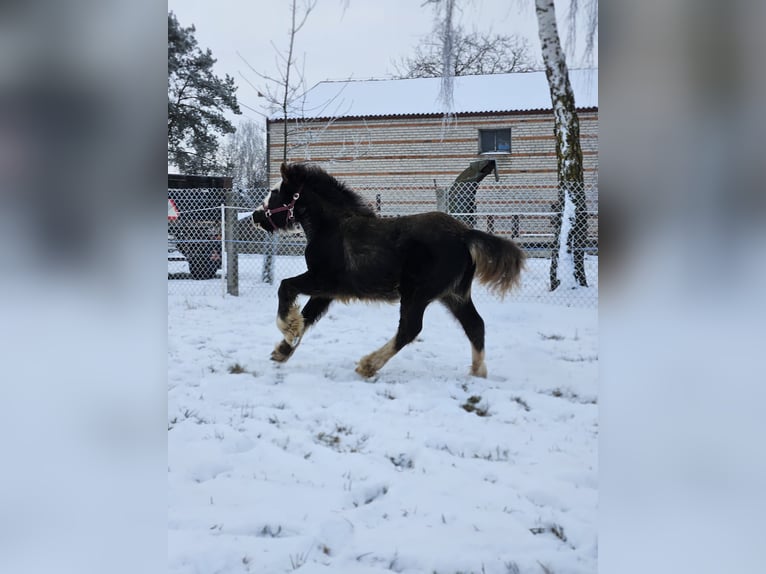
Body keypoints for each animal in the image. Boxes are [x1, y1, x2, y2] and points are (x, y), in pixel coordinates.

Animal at [254, 163, 528, 378]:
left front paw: (288, 328)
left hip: (417, 294)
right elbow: (308, 316)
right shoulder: (327, 291)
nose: (257, 216)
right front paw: (283, 349)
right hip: (454, 295)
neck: (332, 228)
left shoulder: (322, 280)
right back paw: (477, 372)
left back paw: (368, 365)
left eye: (275, 192)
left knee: (410, 329)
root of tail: (465, 235)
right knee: (475, 325)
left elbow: (286, 287)